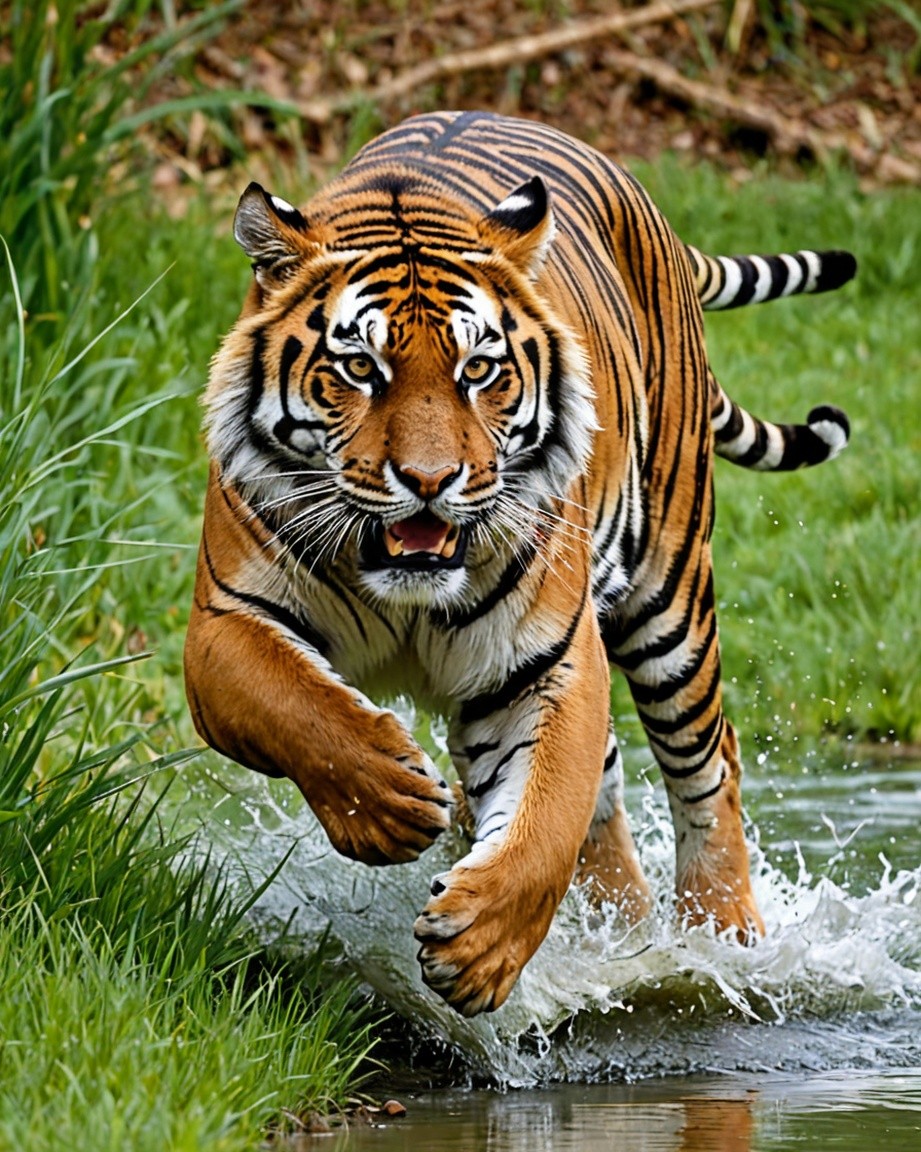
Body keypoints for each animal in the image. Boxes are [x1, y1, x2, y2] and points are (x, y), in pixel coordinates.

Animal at [184, 111, 855, 1017]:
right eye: (359, 368)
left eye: (478, 370)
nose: (430, 481)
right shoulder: (224, 622)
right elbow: (297, 709)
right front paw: (392, 802)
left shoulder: (550, 657)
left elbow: (546, 818)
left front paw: (480, 949)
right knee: (610, 803)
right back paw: (622, 936)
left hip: (670, 597)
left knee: (707, 762)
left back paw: (723, 942)